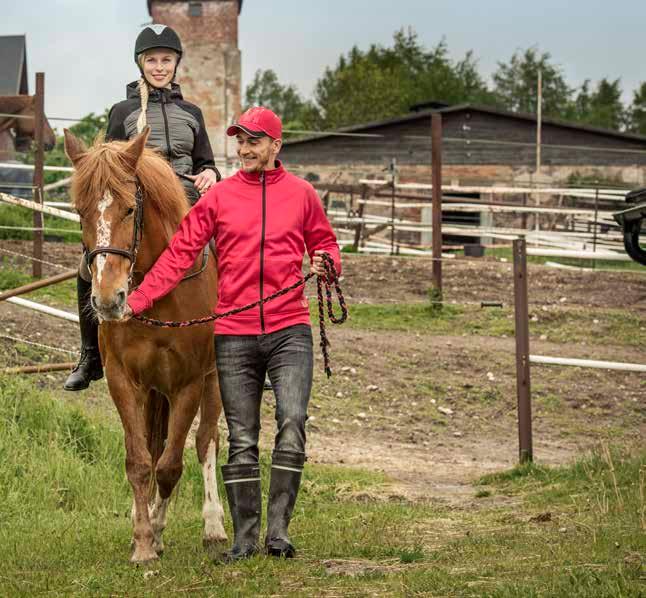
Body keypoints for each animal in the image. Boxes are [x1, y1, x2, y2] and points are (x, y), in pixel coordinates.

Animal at [63, 129, 229, 564]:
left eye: (128, 209)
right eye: (80, 211)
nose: (108, 300)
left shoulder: (187, 384)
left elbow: (172, 465)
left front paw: (154, 530)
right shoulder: (125, 382)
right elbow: (140, 460)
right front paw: (142, 541)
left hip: (213, 380)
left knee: (206, 441)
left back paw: (214, 526)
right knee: (157, 447)